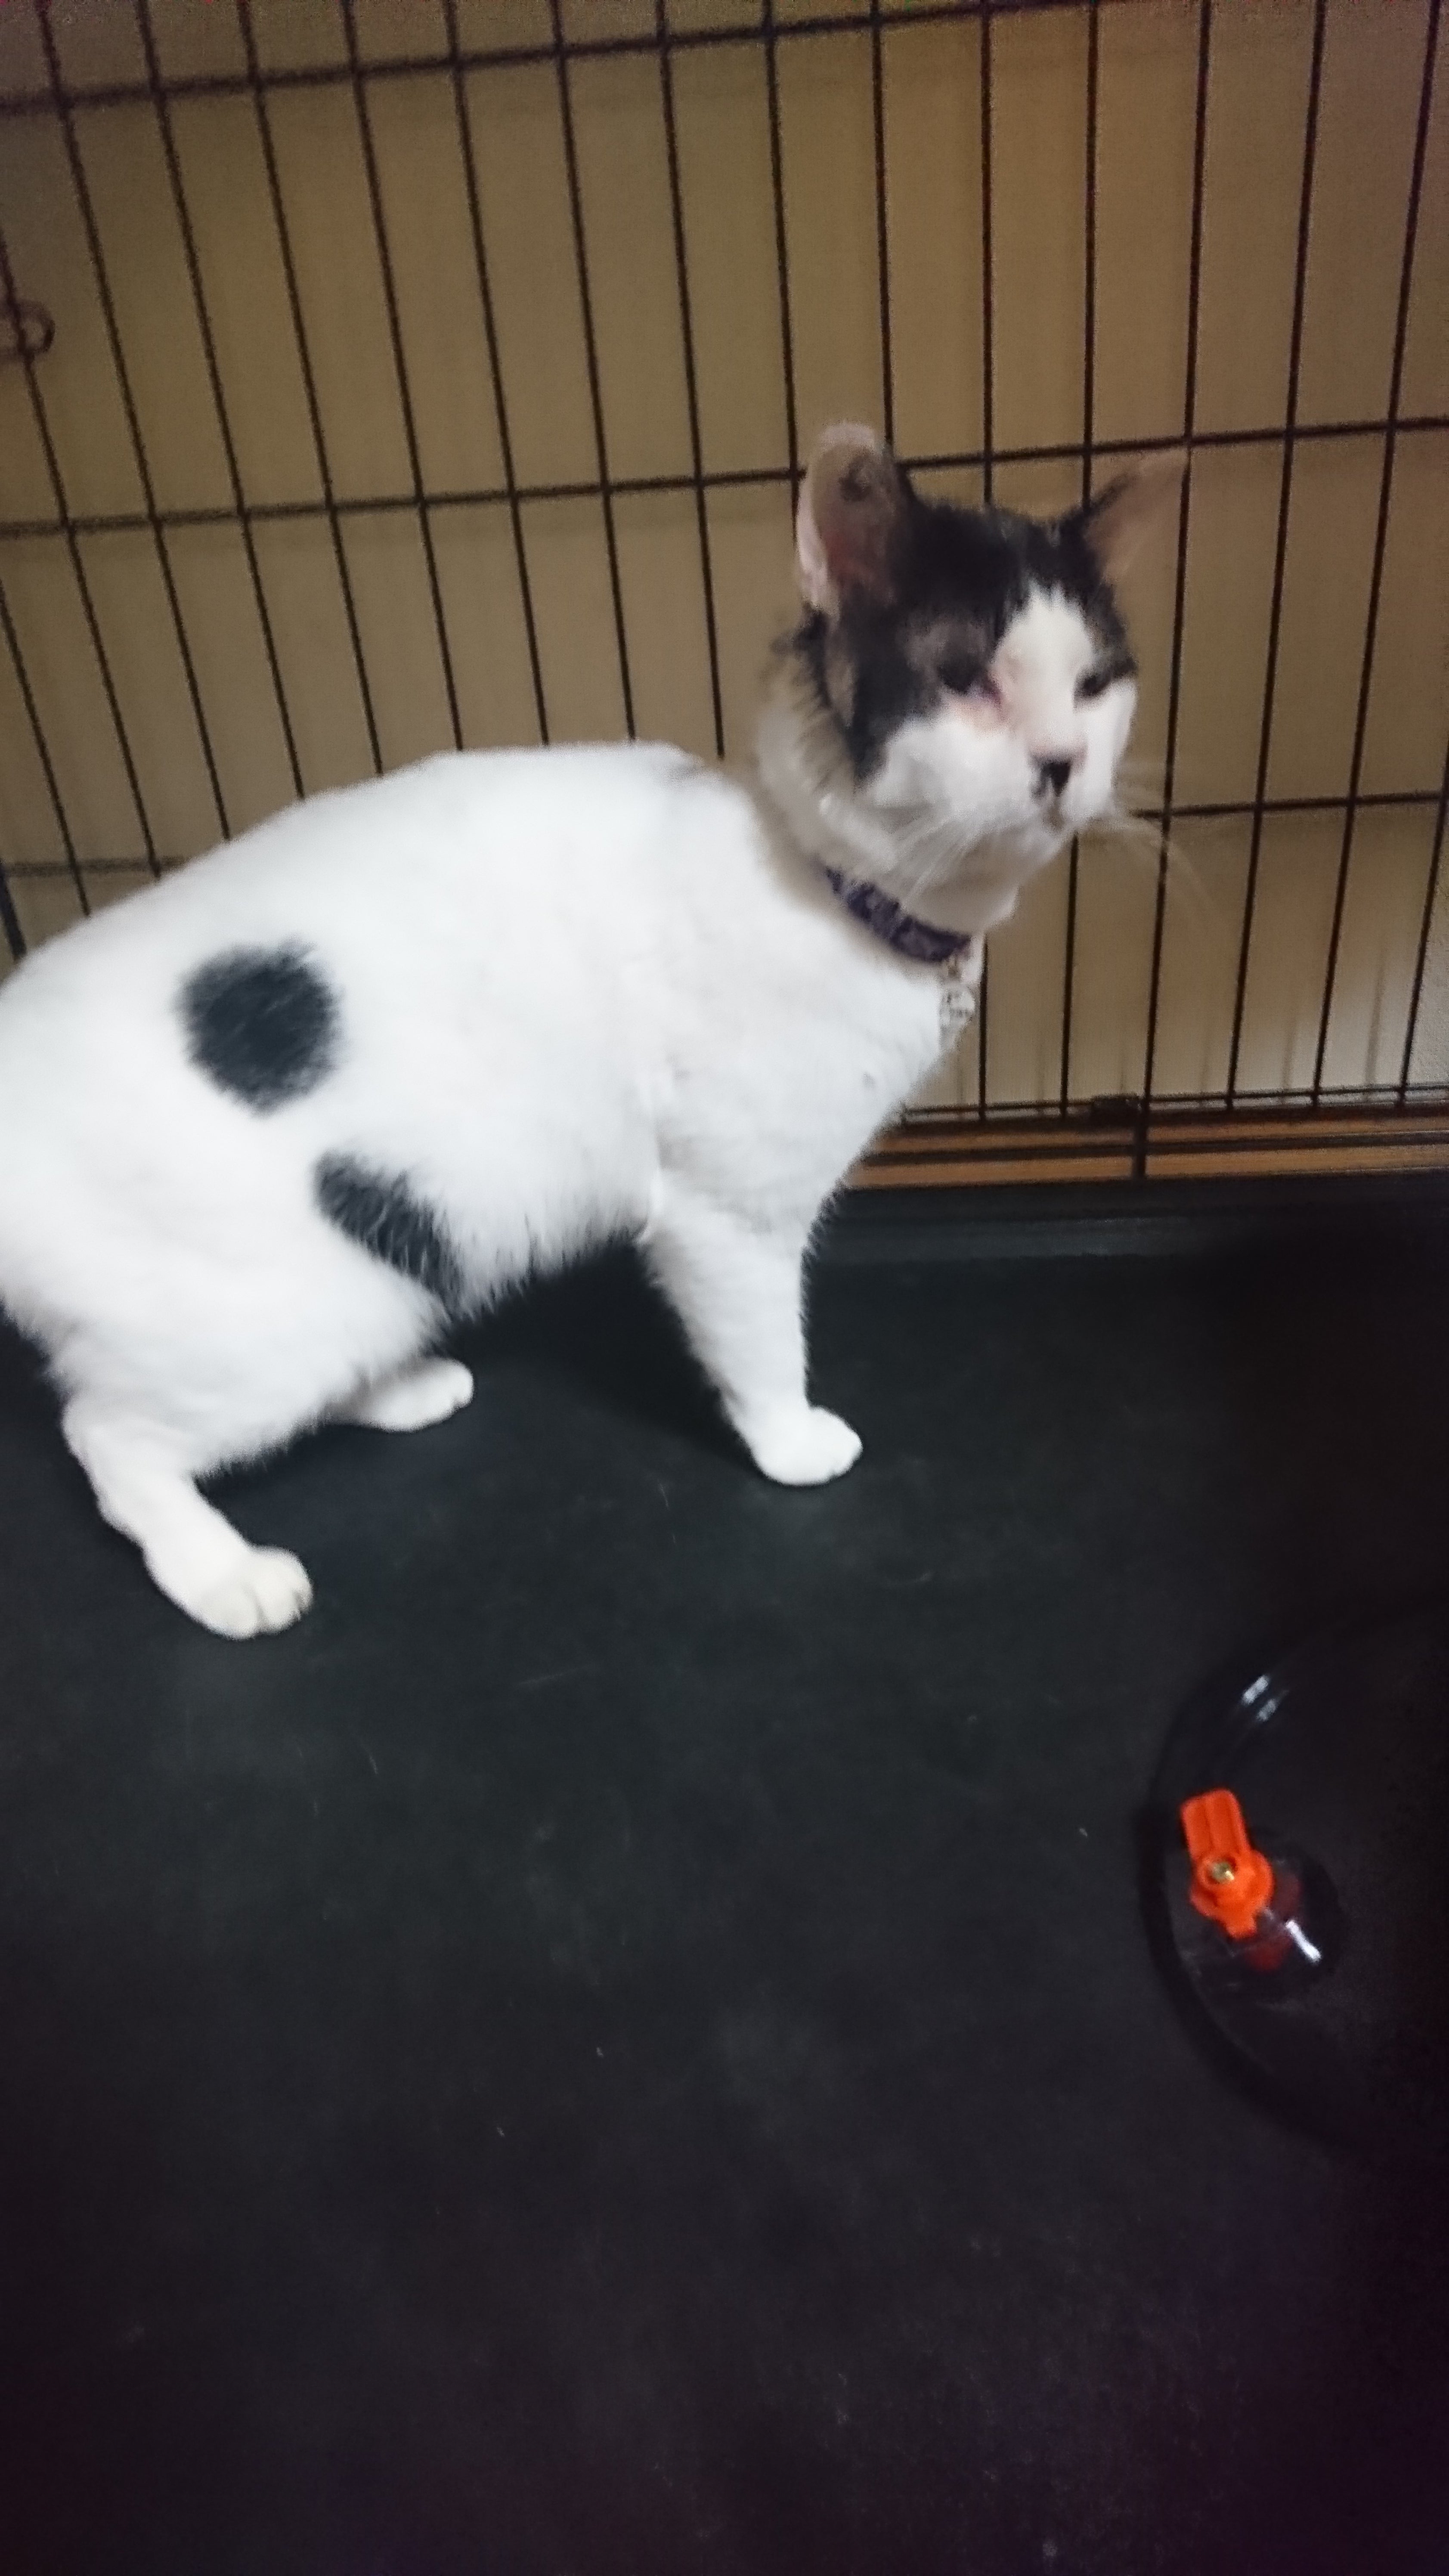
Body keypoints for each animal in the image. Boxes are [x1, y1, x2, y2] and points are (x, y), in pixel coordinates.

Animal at [0, 424, 1179, 1637]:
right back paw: (223, 1570)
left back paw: (402, 1385)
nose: (1062, 762)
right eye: (968, 681)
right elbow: (760, 1341)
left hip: (365, 1280)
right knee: (112, 1439)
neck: (836, 889)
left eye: (1093, 685)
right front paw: (790, 1440)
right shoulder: (726, 1215)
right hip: (254, 1321)